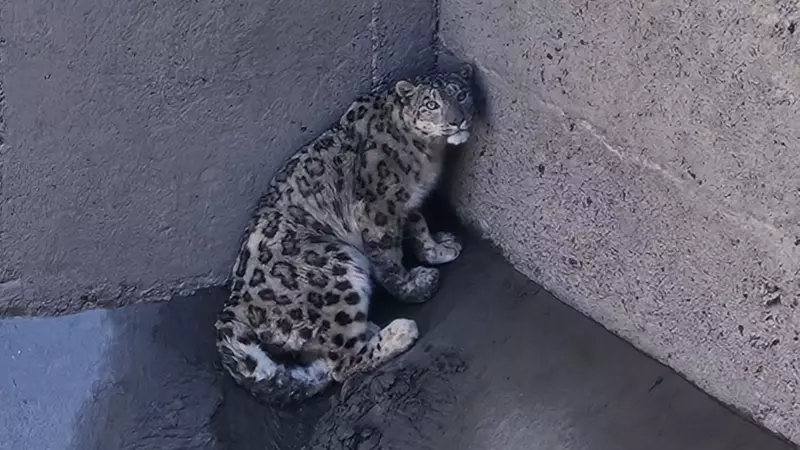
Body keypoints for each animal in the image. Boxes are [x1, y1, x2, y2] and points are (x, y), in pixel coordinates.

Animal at [214, 64, 476, 404]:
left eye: (462, 94)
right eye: (431, 104)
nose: (457, 119)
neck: (427, 155)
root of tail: (234, 305)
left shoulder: (406, 202)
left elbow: (419, 226)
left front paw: (439, 247)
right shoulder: (378, 209)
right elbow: (389, 260)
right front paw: (413, 285)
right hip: (335, 272)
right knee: (342, 361)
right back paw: (400, 331)